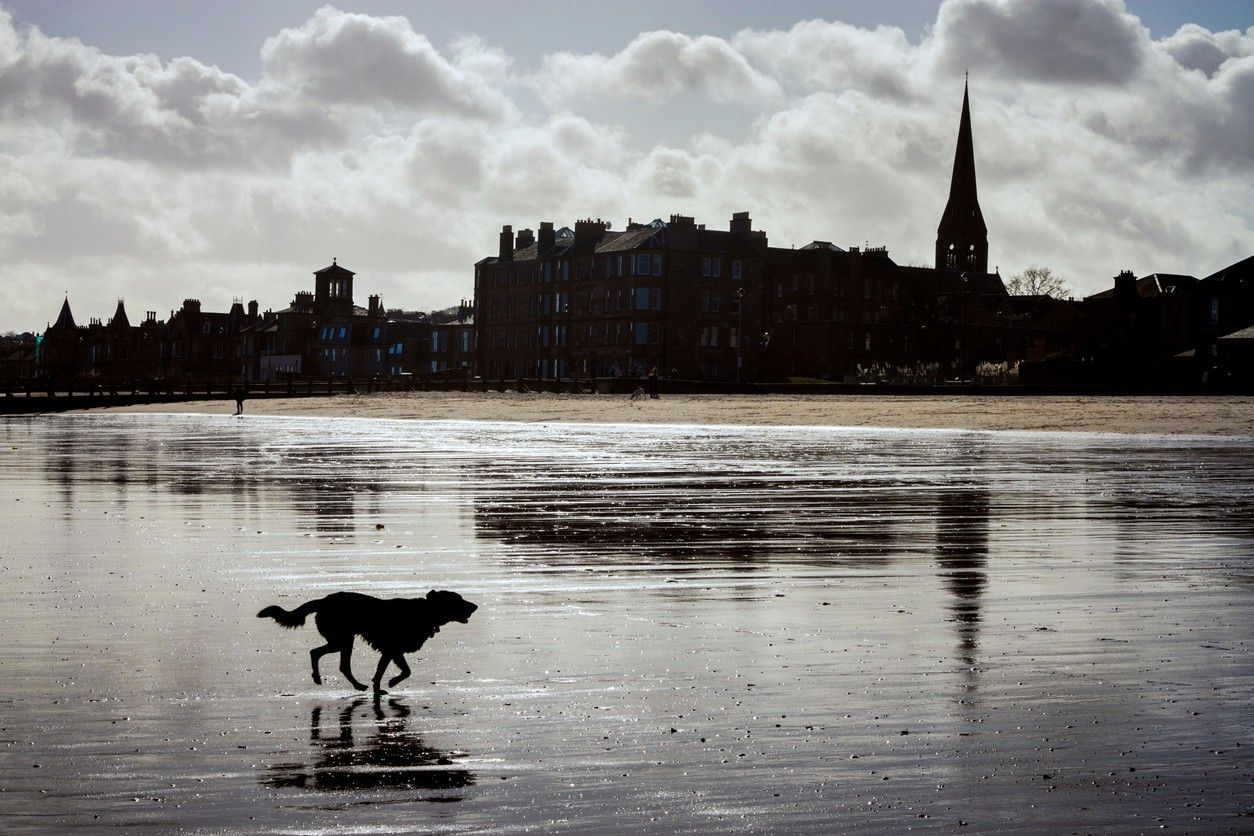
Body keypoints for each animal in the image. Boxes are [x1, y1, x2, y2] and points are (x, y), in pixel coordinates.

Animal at [257, 591, 476, 696]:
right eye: (458, 600)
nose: (475, 606)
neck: (426, 612)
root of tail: (324, 600)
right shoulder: (392, 649)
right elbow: (404, 671)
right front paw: (391, 683)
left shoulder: (391, 651)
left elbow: (389, 672)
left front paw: (380, 688)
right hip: (342, 640)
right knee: (323, 656)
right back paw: (335, 681)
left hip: (341, 641)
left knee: (324, 657)